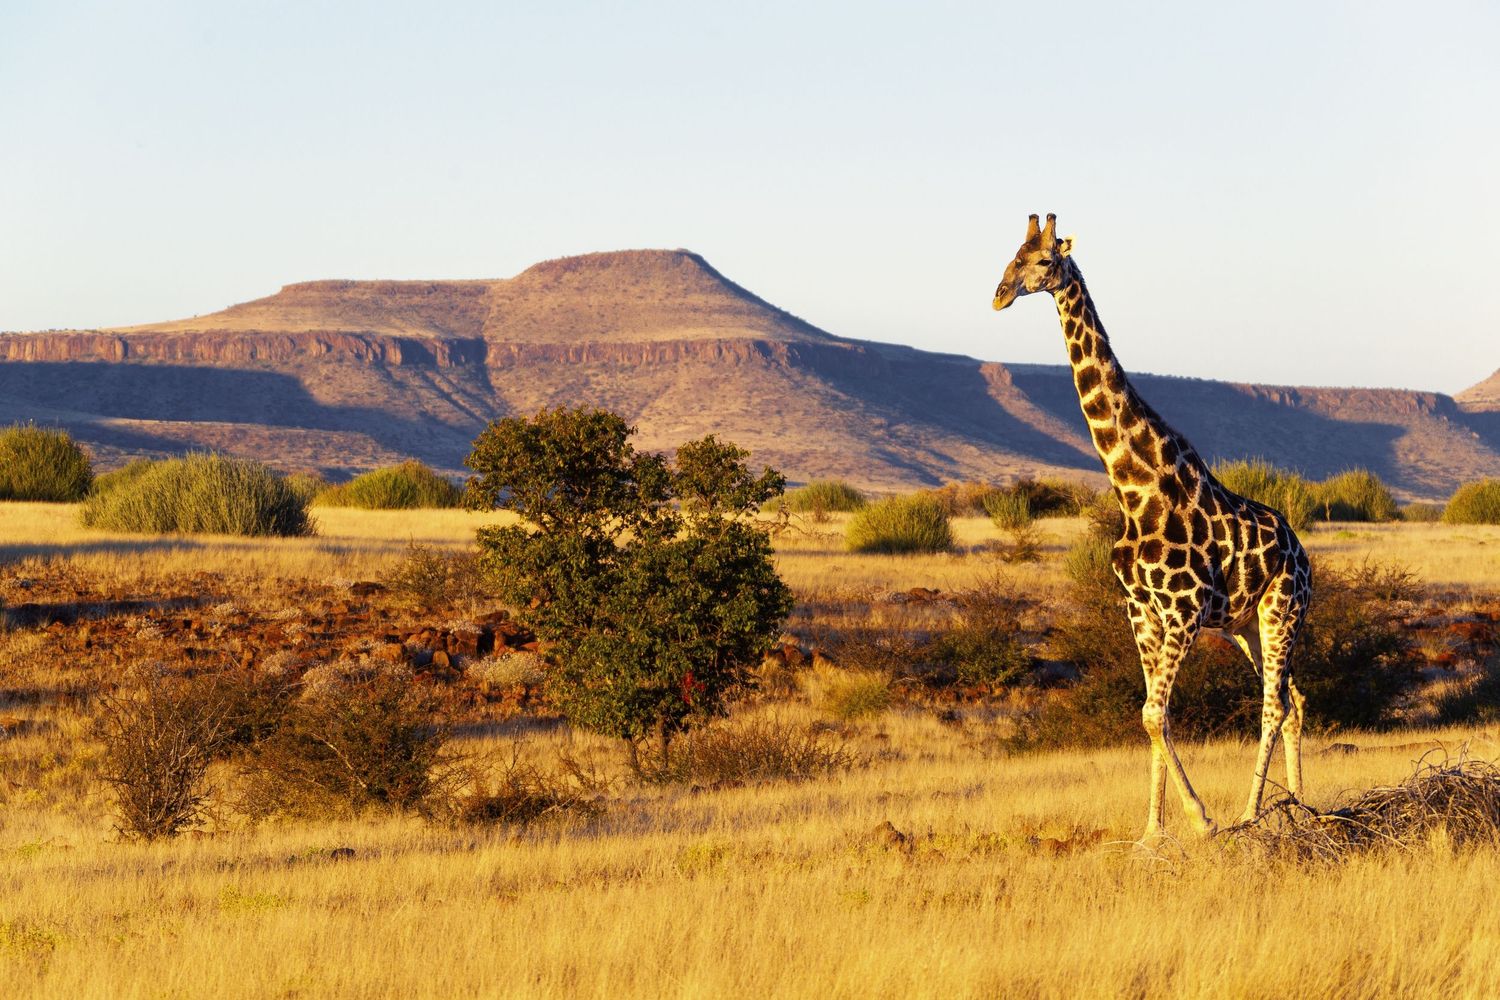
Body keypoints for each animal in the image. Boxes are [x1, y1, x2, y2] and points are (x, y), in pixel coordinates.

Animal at [991, 213, 1312, 839]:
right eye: (1010, 255)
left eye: (1043, 261)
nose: (999, 295)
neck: (1134, 487)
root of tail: (1304, 554)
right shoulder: (1140, 612)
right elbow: (1150, 716)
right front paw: (1151, 833)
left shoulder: (1183, 611)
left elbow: (1153, 712)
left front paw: (1202, 819)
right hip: (1245, 625)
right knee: (1296, 701)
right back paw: (1300, 805)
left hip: (1281, 609)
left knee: (1274, 704)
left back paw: (1251, 813)